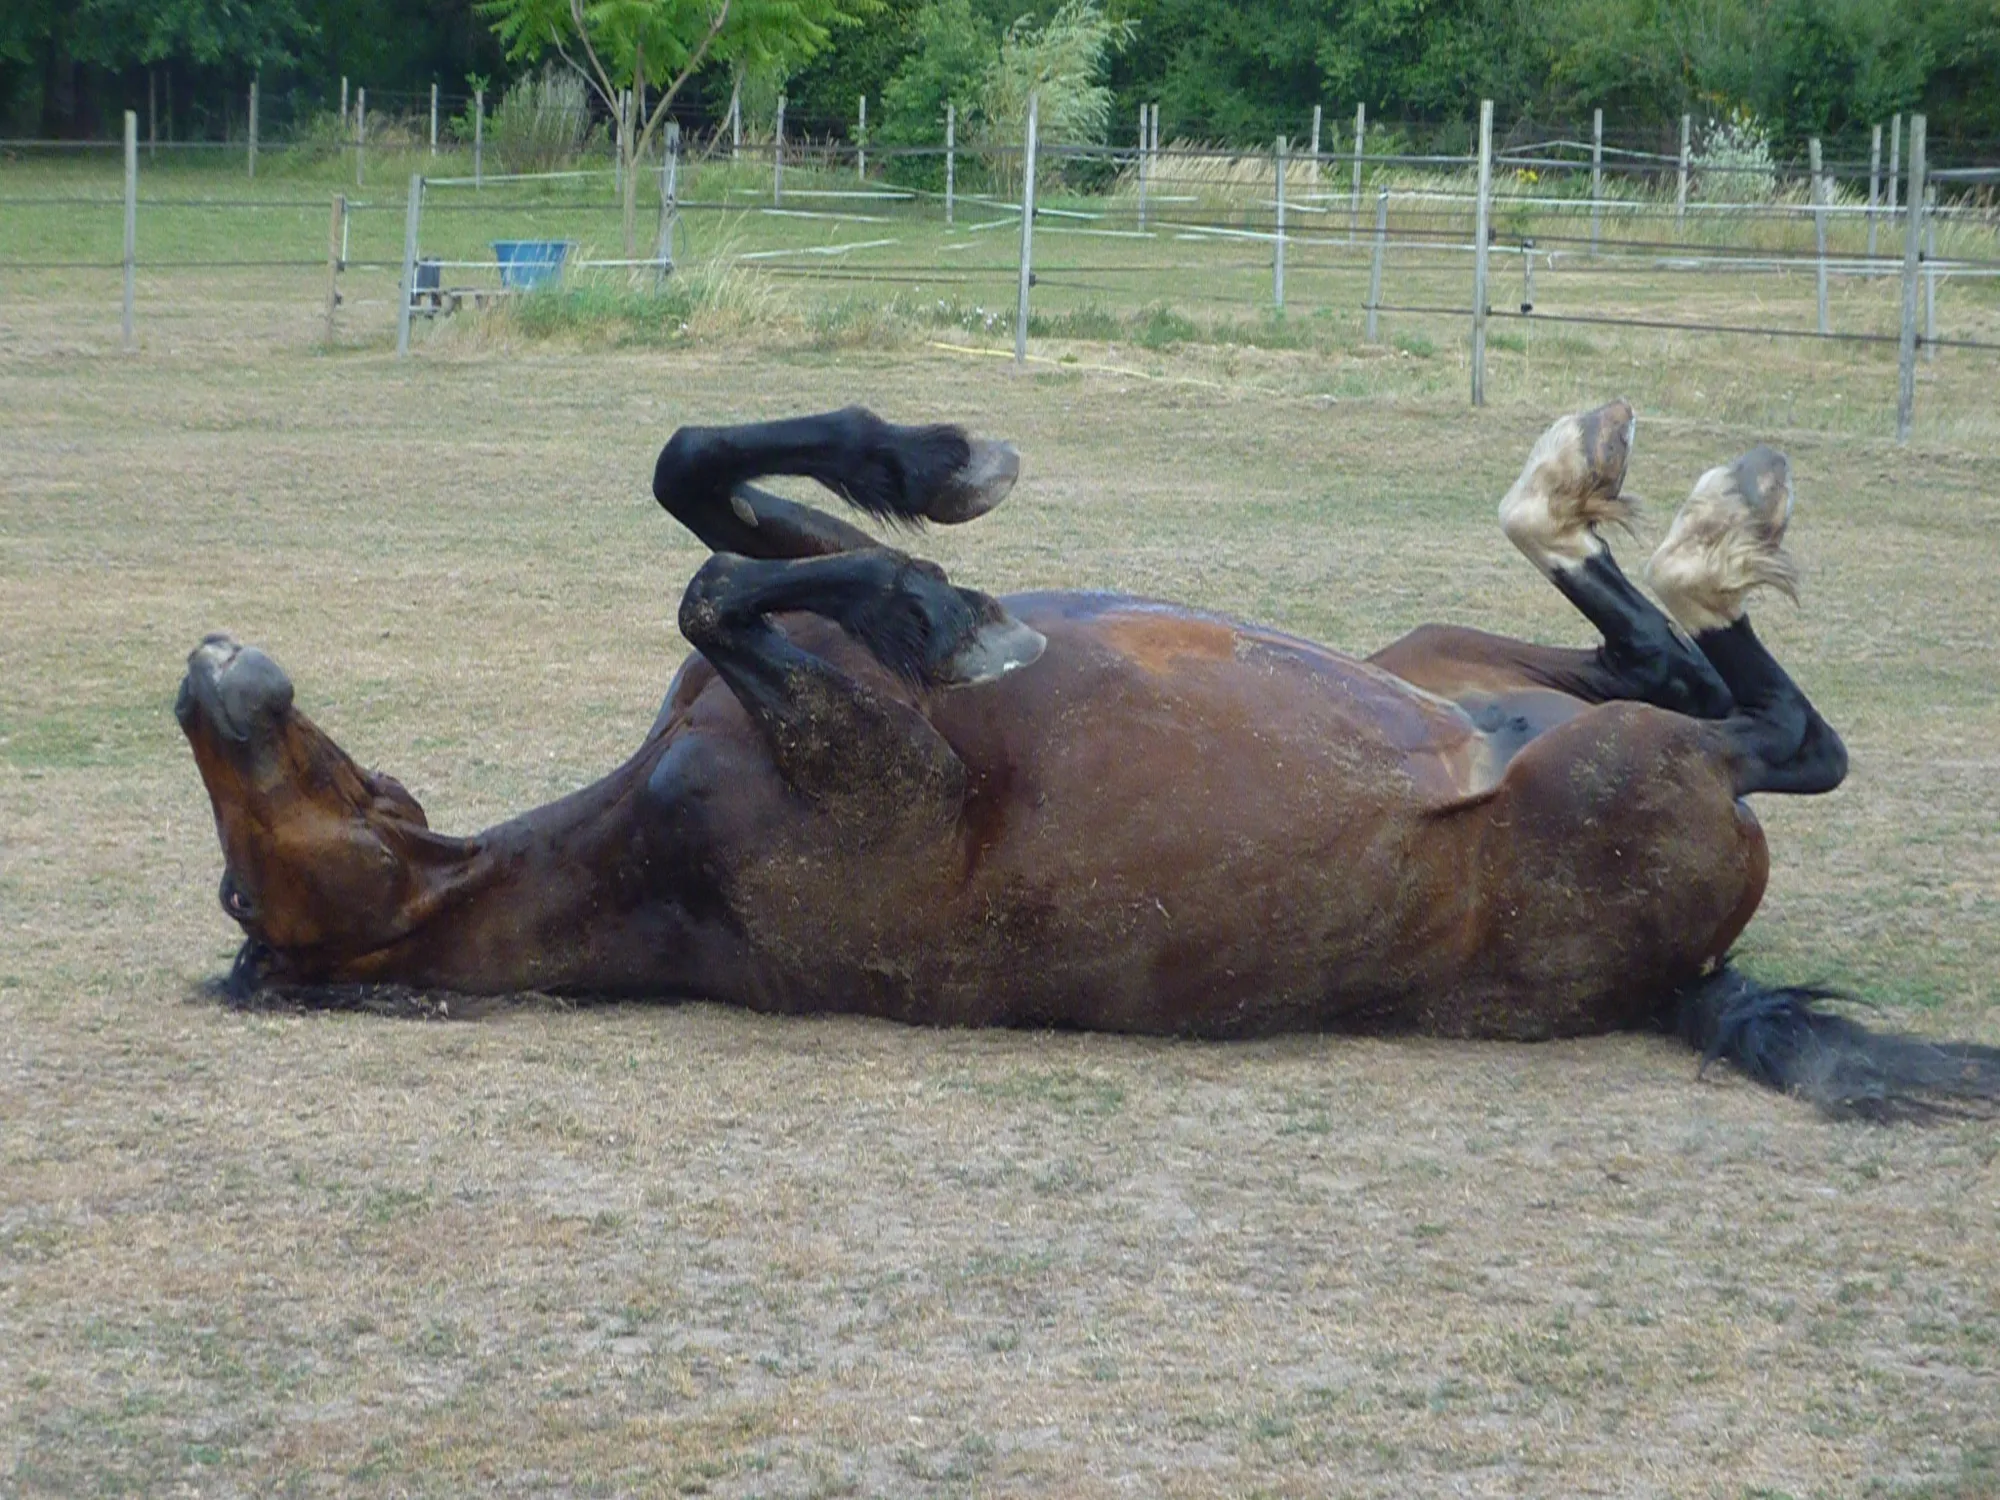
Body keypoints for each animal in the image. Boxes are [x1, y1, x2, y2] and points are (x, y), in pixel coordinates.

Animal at [176, 402, 2000, 1119]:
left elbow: (699, 485)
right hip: (1614, 775)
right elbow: (719, 577)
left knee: (1693, 678)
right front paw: (944, 604)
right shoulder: (878, 754)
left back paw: (1611, 496)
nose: (207, 676)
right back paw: (1685, 526)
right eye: (245, 893)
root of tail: (1693, 977)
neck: (644, 859)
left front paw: (940, 481)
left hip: (1449, 660)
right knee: (1772, 735)